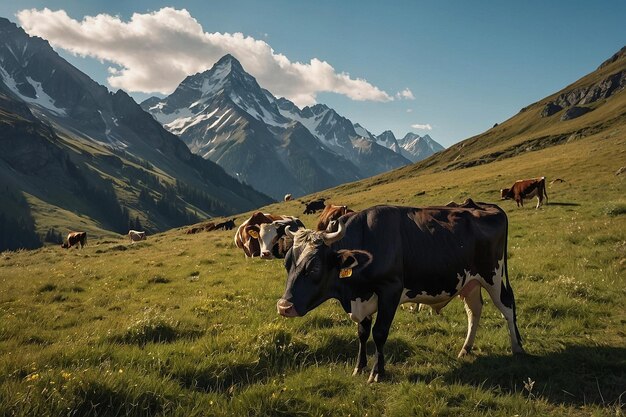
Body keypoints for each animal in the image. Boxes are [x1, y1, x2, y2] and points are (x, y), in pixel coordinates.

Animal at [276, 200, 520, 382]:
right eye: (287, 263)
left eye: (314, 267)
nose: (284, 307)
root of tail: (487, 206)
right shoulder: (362, 297)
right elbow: (362, 333)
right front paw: (359, 367)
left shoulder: (390, 291)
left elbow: (379, 333)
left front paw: (377, 372)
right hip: (470, 282)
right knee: (474, 310)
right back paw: (465, 349)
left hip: (493, 275)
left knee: (507, 306)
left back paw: (517, 347)